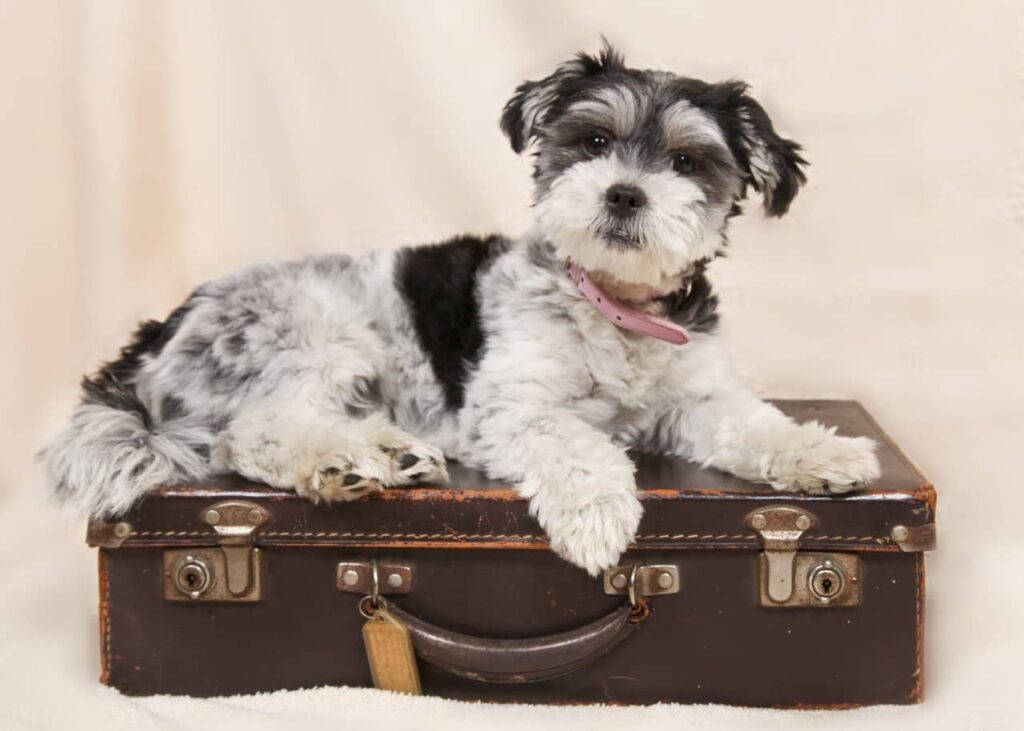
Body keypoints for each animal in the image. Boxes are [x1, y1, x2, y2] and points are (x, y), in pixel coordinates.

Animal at [41, 44, 880, 573]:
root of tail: (153, 337)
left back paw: (390, 453)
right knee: (251, 432)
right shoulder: (511, 406)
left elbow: (758, 424)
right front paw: (598, 516)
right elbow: (576, 444)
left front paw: (825, 453)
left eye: (686, 160)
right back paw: (341, 463)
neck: (614, 310)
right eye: (593, 141)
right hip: (318, 337)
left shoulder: (699, 399)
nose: (623, 193)